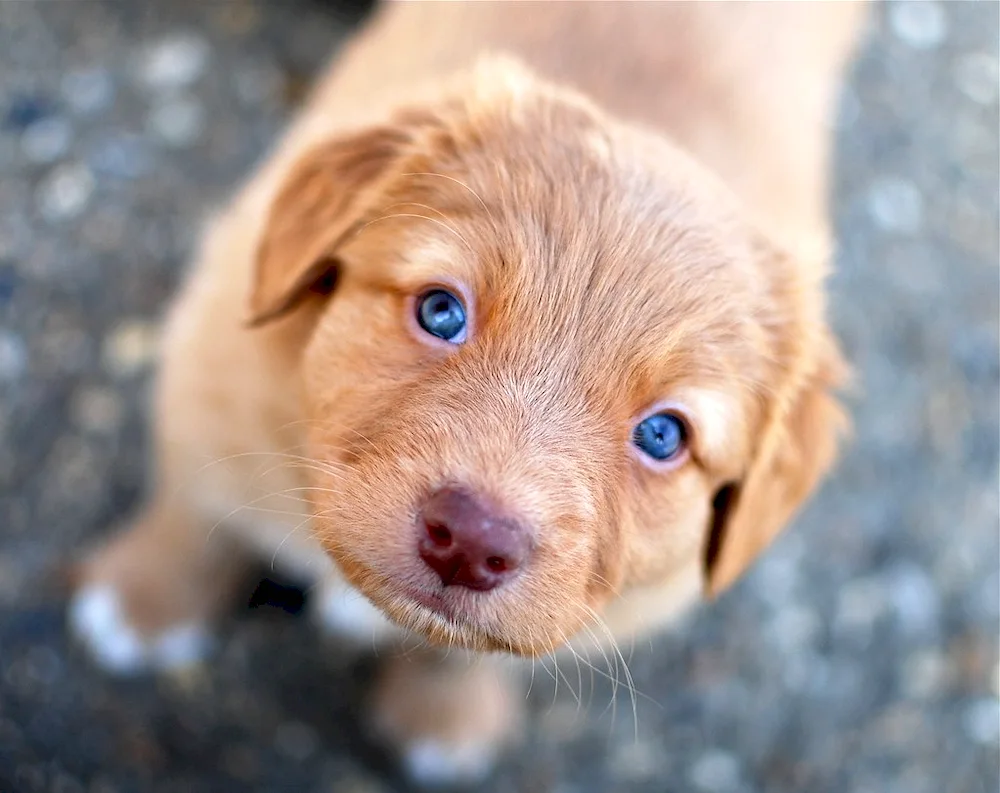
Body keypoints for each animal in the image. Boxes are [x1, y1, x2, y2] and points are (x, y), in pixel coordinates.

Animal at [72, 1, 868, 784]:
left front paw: (442, 715)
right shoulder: (214, 365)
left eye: (663, 435)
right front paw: (143, 602)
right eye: (441, 311)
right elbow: (196, 509)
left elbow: (465, 655)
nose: (472, 540)